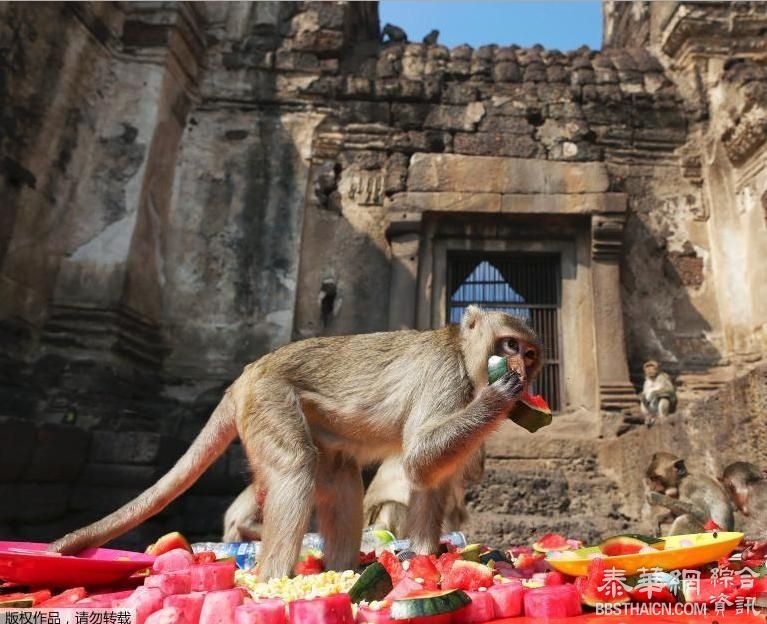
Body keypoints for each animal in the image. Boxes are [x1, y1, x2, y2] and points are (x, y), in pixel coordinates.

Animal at [51, 308, 544, 580]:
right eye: (509, 345)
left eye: (530, 352)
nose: (522, 369)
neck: (465, 357)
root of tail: (248, 372)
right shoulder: (446, 376)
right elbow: (420, 459)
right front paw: (498, 398)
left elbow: (428, 478)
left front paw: (424, 555)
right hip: (269, 398)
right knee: (294, 466)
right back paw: (275, 579)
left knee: (340, 477)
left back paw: (345, 570)